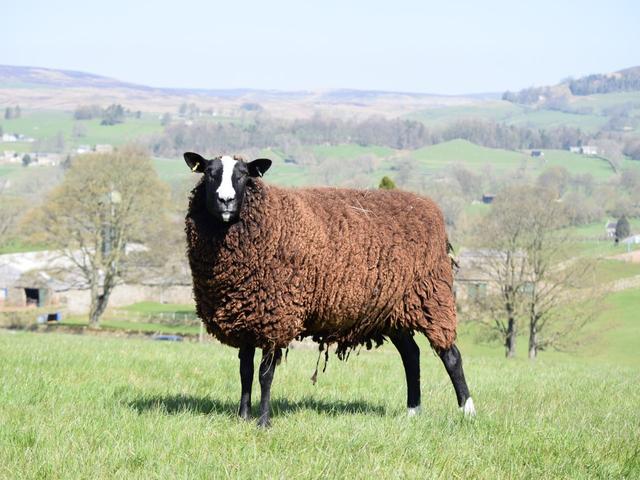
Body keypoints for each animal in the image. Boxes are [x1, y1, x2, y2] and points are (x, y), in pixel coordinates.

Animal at [184, 152, 475, 427]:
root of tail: (428, 206)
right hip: (392, 308)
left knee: (451, 356)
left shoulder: (276, 317)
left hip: (432, 298)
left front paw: (263, 422)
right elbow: (245, 370)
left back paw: (468, 411)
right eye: (209, 173)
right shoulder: (246, 315)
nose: (226, 201)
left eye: (244, 175)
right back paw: (413, 412)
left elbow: (265, 375)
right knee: (411, 355)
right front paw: (243, 417)